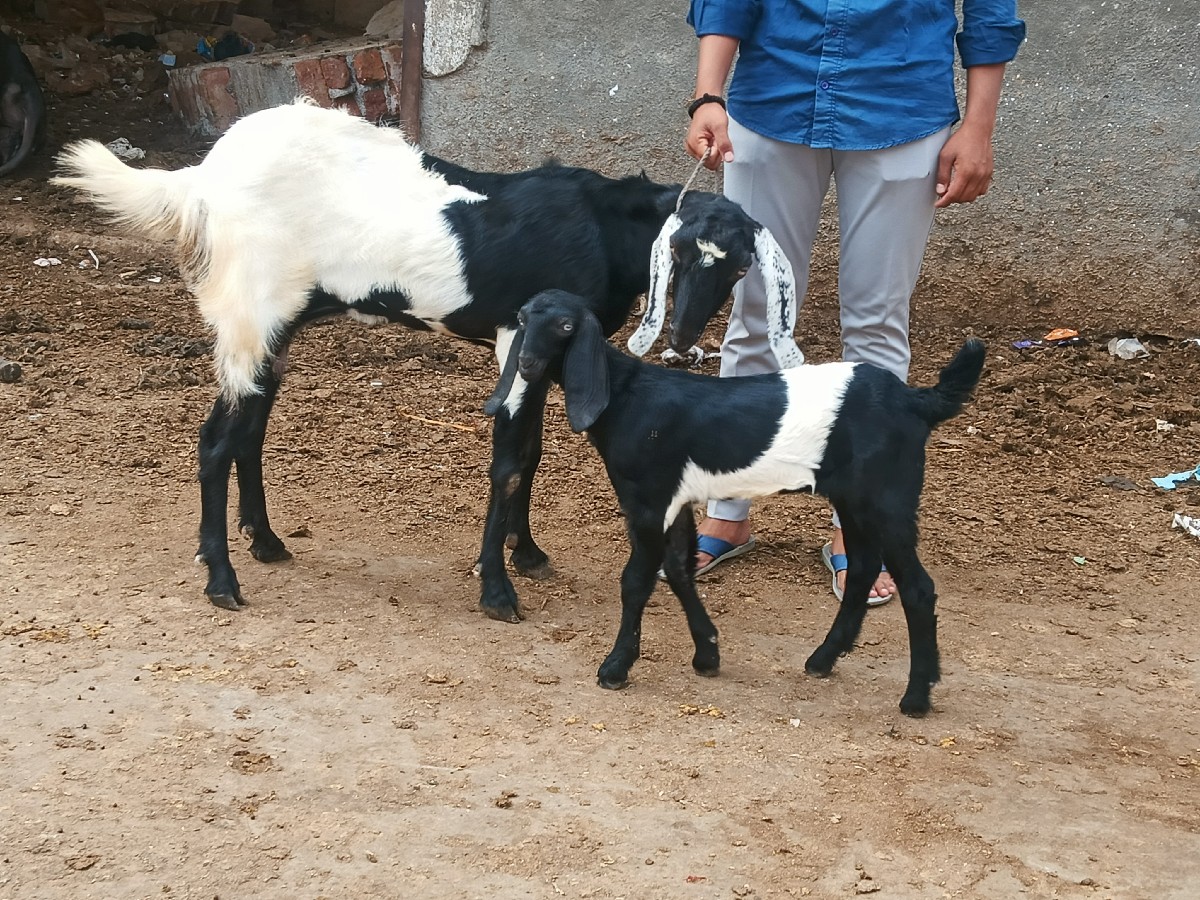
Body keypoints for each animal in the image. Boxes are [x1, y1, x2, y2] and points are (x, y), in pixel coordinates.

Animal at [51, 98, 775, 621]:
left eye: (738, 265)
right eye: (684, 254)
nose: (686, 333)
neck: (599, 228)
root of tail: (203, 178)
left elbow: (533, 453)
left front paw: (528, 553)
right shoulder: (518, 337)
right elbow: (509, 463)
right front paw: (497, 592)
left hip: (275, 326)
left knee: (249, 432)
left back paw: (266, 542)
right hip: (249, 315)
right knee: (214, 440)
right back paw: (221, 579)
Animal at [486, 289, 986, 716]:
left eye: (566, 325)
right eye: (522, 319)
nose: (526, 363)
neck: (625, 394)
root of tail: (915, 401)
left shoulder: (647, 500)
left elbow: (636, 582)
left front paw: (615, 667)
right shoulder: (676, 500)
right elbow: (679, 570)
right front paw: (707, 653)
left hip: (887, 498)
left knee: (918, 589)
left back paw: (916, 697)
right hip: (855, 499)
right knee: (863, 569)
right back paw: (823, 659)